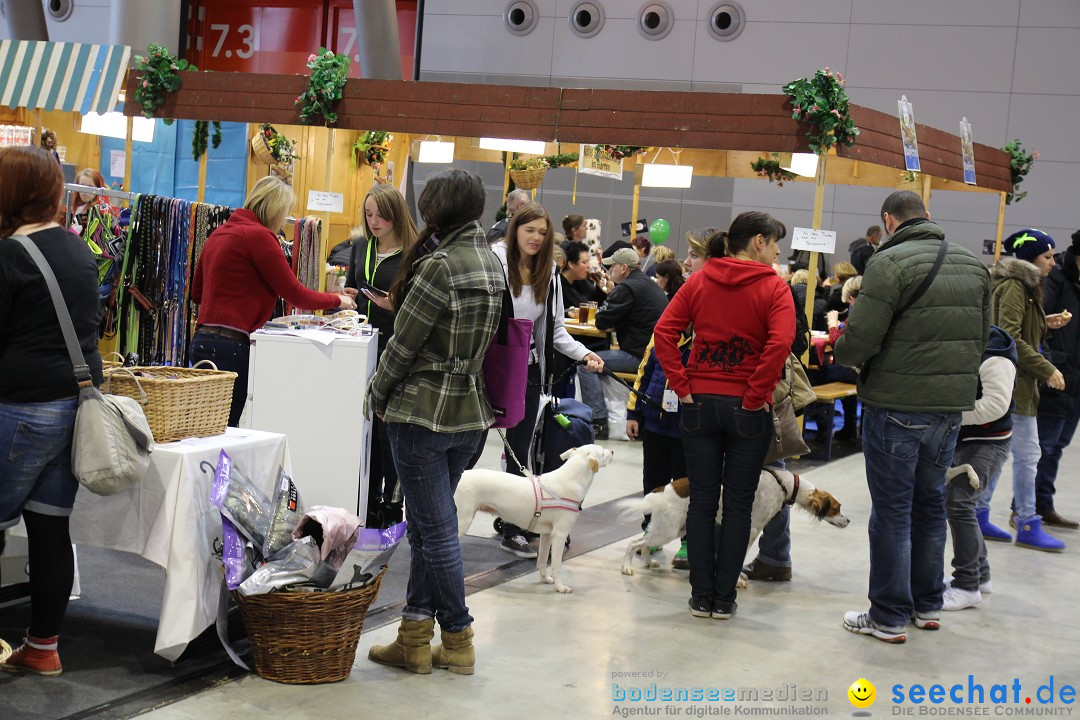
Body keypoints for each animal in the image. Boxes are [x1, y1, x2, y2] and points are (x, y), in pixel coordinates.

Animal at [453, 446, 617, 595]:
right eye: (602, 453)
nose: (613, 451)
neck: (571, 478)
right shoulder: (559, 535)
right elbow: (556, 565)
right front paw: (560, 587)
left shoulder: (547, 534)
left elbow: (542, 560)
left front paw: (544, 579)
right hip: (462, 521)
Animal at [622, 470, 846, 582]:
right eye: (837, 508)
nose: (848, 521)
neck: (786, 484)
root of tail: (661, 490)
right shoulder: (750, 530)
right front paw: (737, 580)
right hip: (668, 530)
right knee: (633, 544)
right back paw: (626, 568)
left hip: (672, 528)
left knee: (643, 543)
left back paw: (649, 563)